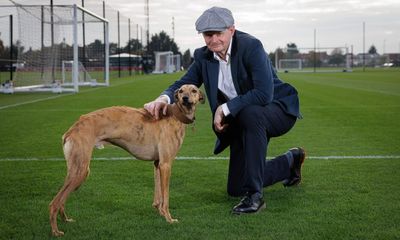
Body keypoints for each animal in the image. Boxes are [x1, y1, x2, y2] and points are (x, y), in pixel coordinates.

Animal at [50, 84, 205, 236]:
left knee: (61, 200)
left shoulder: (158, 164)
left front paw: (160, 212)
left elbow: (158, 196)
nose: (185, 99)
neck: (175, 115)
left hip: (76, 170)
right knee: (54, 203)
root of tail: (71, 130)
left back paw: (65, 220)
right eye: (181, 91)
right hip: (81, 171)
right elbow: (166, 197)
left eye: (194, 90)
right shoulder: (166, 164)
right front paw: (169, 219)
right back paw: (56, 231)